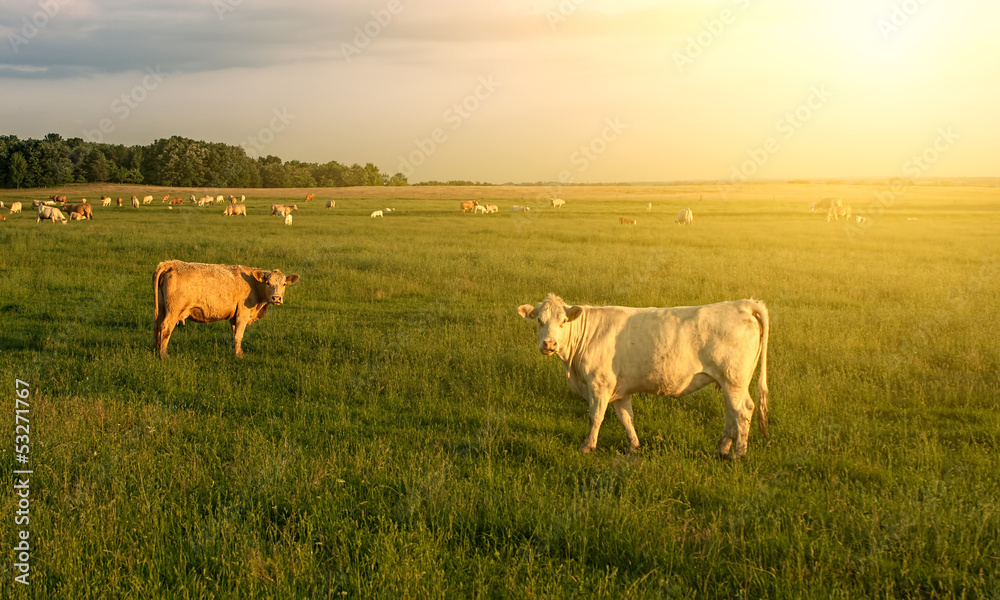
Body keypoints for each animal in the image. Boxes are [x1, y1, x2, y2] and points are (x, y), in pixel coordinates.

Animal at [152, 260, 300, 359]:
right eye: (268, 283)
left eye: (284, 284)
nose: (276, 298)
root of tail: (170, 264)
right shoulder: (242, 313)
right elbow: (239, 335)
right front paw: (239, 356)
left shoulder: (234, 317)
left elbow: (234, 334)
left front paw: (237, 352)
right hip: (173, 310)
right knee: (165, 328)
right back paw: (163, 355)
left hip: (161, 308)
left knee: (157, 326)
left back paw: (156, 350)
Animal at [517, 294, 769, 458]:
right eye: (539, 320)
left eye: (563, 321)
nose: (549, 344)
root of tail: (742, 304)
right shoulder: (619, 389)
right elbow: (626, 418)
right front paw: (634, 446)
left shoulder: (599, 384)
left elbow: (595, 416)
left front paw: (587, 446)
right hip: (728, 382)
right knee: (731, 413)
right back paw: (721, 449)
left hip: (734, 379)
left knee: (743, 410)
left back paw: (738, 454)